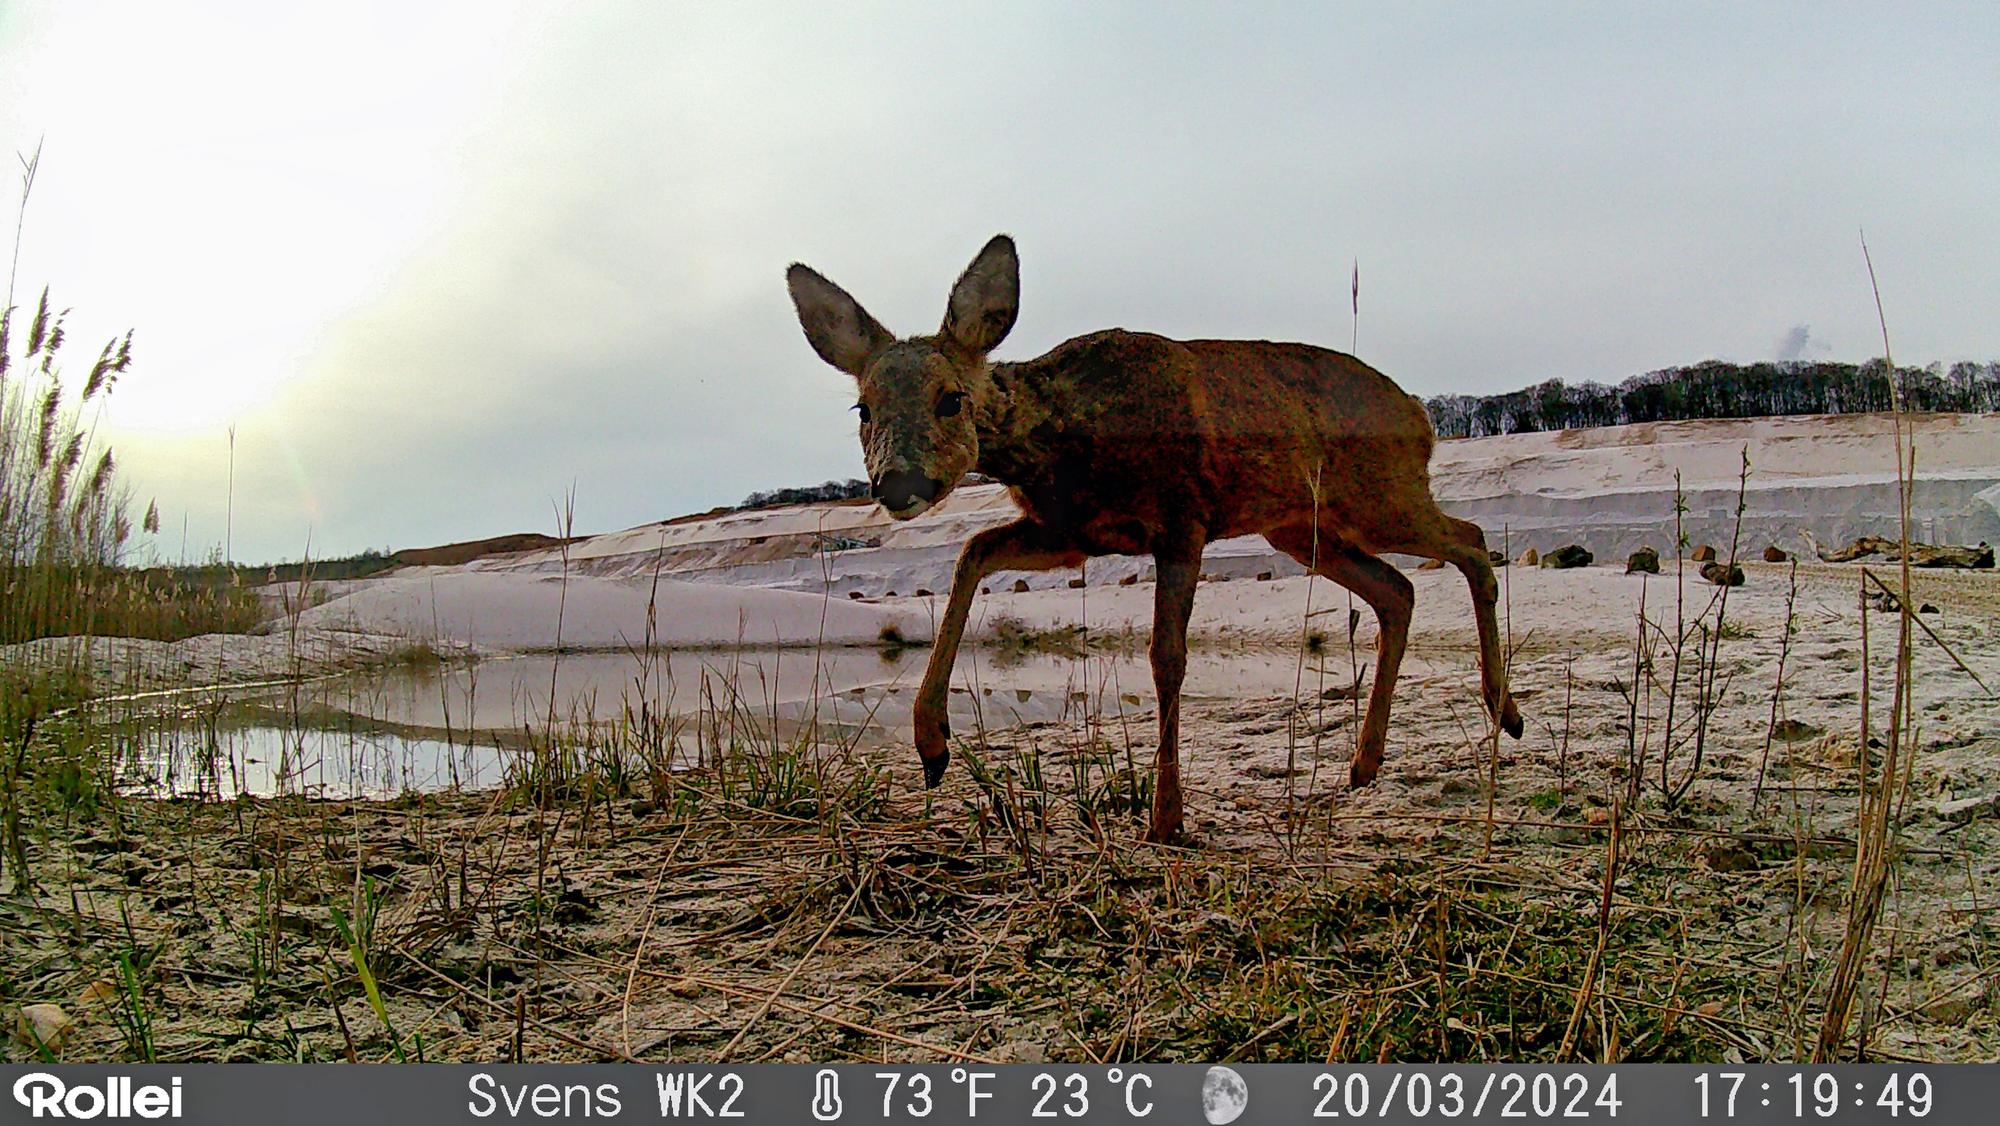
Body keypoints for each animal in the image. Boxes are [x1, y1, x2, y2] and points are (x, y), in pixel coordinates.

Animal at [786, 235, 1522, 842]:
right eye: (863, 407)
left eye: (951, 398)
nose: (897, 483)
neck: (1067, 436)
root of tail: (1422, 416)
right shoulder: (1073, 532)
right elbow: (973, 553)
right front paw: (931, 744)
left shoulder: (1181, 516)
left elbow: (1167, 657)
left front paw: (1167, 819)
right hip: (1304, 529)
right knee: (1398, 590)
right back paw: (1366, 763)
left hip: (1380, 496)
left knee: (1471, 541)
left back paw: (1505, 711)